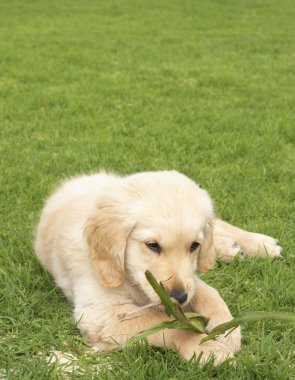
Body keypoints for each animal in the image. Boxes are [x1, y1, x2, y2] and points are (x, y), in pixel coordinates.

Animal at [34, 171, 282, 366]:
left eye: (194, 246)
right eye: (152, 245)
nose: (178, 297)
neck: (130, 278)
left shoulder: (189, 277)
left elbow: (210, 293)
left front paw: (226, 328)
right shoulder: (101, 314)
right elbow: (166, 324)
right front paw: (205, 347)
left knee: (217, 224)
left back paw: (260, 244)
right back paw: (232, 248)